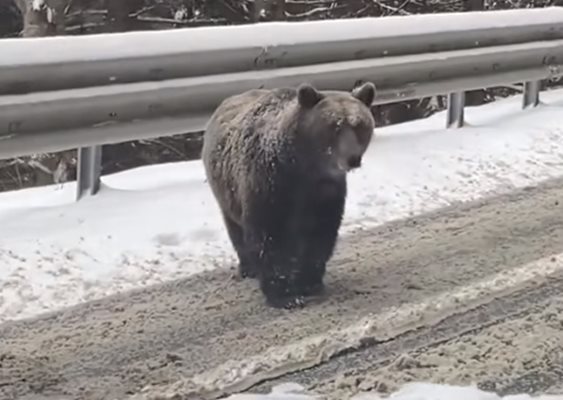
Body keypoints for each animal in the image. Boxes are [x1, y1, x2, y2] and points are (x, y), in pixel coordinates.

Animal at [202, 82, 374, 310]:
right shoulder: (269, 183)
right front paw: (285, 295)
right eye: (335, 126)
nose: (352, 158)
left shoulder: (325, 191)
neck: (305, 166)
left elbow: (321, 233)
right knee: (236, 229)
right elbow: (270, 237)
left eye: (359, 124)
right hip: (226, 191)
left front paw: (309, 282)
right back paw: (248, 268)